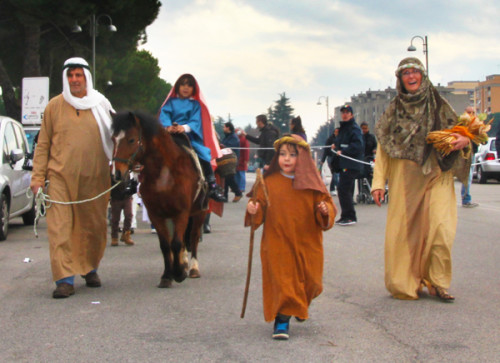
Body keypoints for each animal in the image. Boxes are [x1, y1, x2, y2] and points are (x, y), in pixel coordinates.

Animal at [111, 110, 207, 288]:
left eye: (131, 139)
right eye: (113, 139)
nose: (117, 173)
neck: (164, 174)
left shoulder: (181, 213)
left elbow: (176, 243)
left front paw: (178, 274)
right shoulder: (156, 214)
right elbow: (165, 245)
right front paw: (167, 275)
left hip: (199, 212)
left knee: (194, 237)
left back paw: (193, 268)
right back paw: (183, 264)